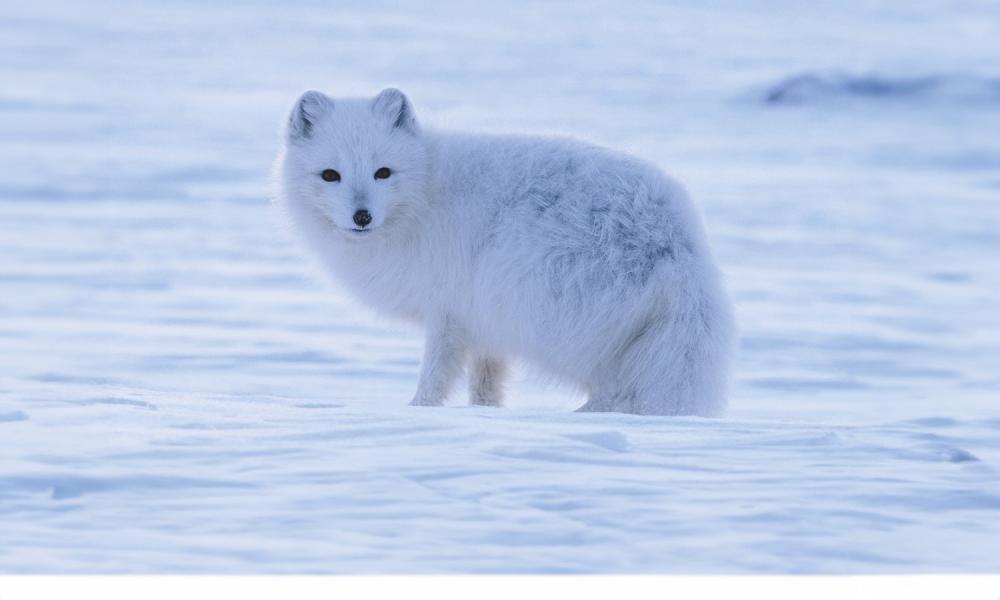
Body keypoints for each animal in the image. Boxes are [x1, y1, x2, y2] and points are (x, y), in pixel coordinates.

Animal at [274, 90, 736, 418]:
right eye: (330, 175)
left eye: (382, 172)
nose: (362, 216)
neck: (424, 193)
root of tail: (681, 247)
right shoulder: (482, 326)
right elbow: (486, 383)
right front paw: (485, 414)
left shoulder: (449, 313)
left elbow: (434, 376)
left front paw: (418, 413)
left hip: (538, 307)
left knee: (620, 393)